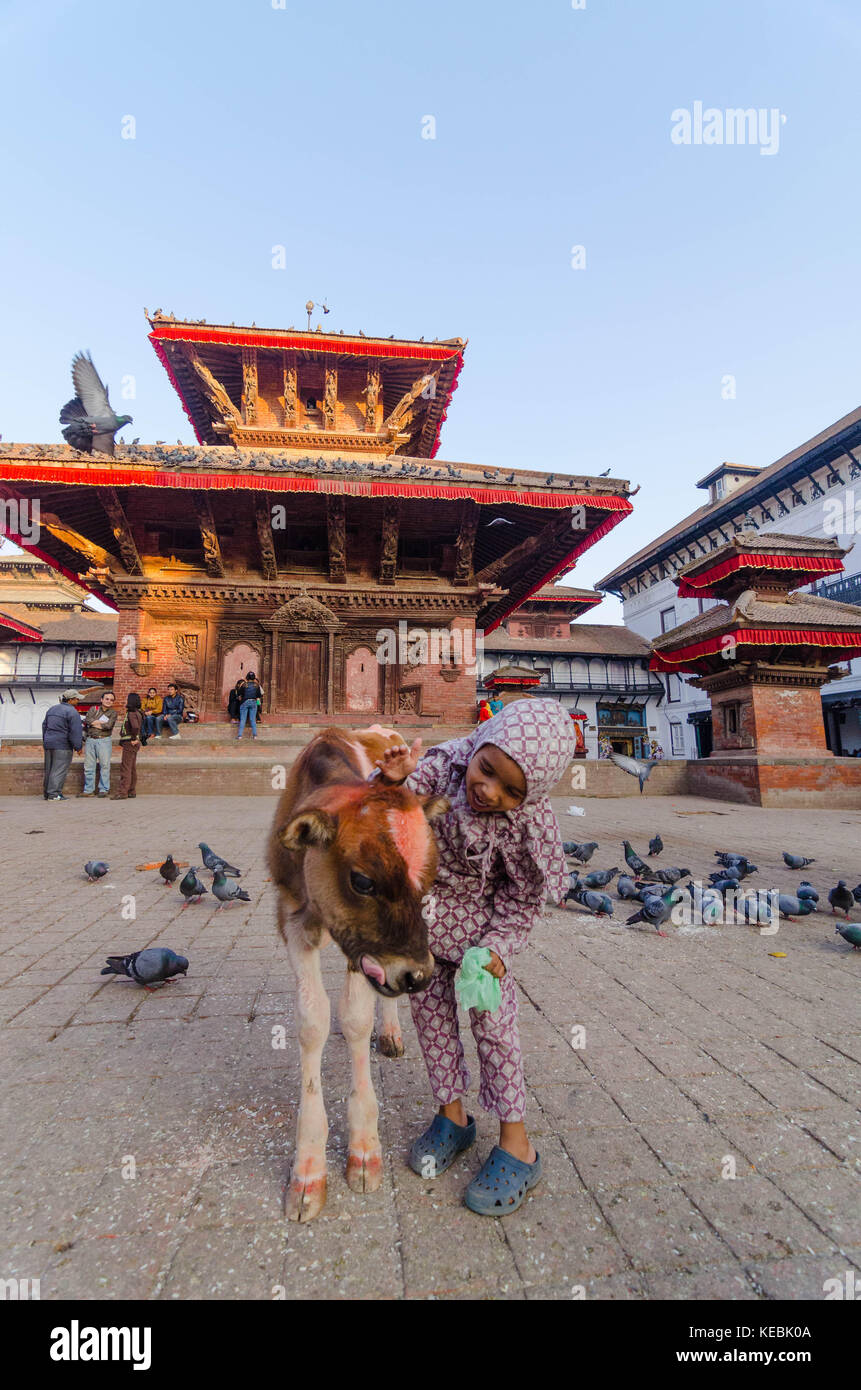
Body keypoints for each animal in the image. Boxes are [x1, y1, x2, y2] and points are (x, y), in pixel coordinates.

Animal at [265, 722, 447, 1223]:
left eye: (429, 881)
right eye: (363, 880)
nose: (417, 975)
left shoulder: (364, 949)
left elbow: (355, 1018)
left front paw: (364, 1147)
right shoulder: (292, 919)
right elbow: (313, 1021)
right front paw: (308, 1169)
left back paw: (391, 1033)